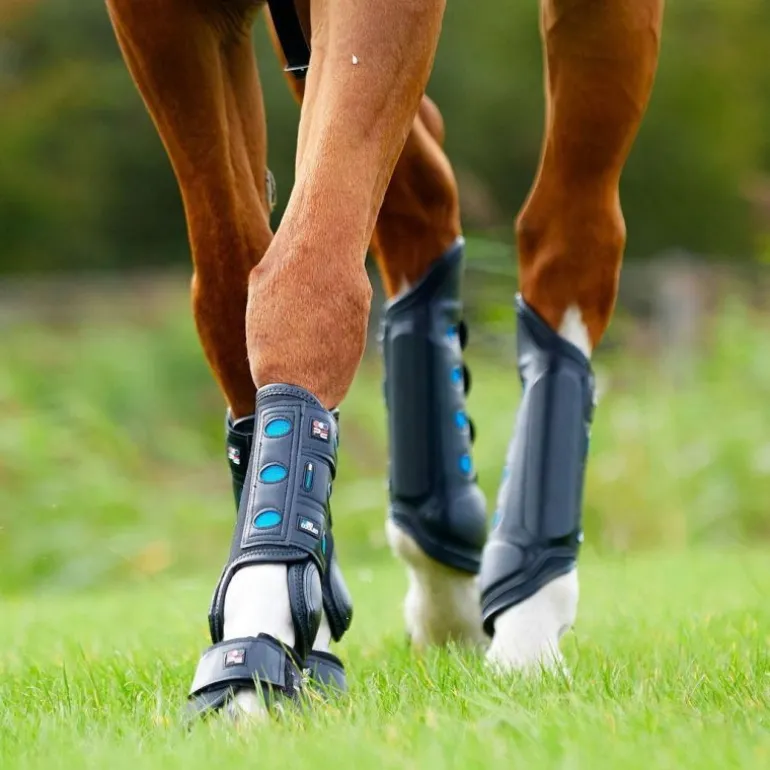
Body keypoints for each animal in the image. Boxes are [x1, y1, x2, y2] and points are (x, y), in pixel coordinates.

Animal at [104, 0, 664, 718]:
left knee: (570, 239)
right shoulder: (164, 23)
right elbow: (230, 288)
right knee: (423, 199)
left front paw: (256, 652)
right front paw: (293, 617)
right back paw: (446, 572)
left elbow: (308, 273)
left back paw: (528, 614)